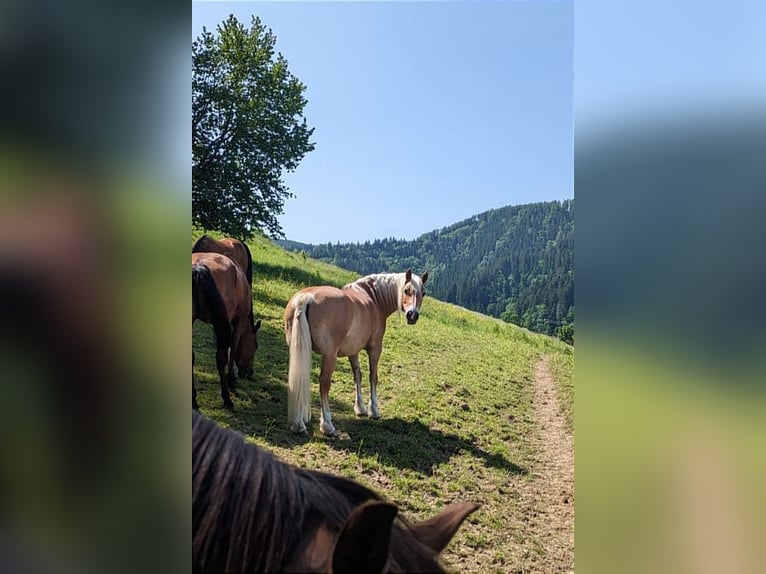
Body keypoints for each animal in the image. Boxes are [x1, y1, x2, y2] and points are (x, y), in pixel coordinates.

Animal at [194, 254, 262, 412]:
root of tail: (199, 266)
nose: (250, 372)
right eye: (256, 346)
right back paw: (226, 398)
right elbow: (233, 349)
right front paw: (231, 379)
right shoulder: (238, 321)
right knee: (221, 358)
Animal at [284, 270, 428, 436]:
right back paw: (327, 425)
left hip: (299, 350)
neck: (374, 299)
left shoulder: (353, 351)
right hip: (329, 356)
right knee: (324, 384)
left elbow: (357, 375)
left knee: (299, 377)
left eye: (423, 292)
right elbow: (373, 377)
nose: (413, 315)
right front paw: (373, 410)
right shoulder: (375, 349)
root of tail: (306, 298)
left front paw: (360, 408)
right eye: (406, 290)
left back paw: (298, 424)